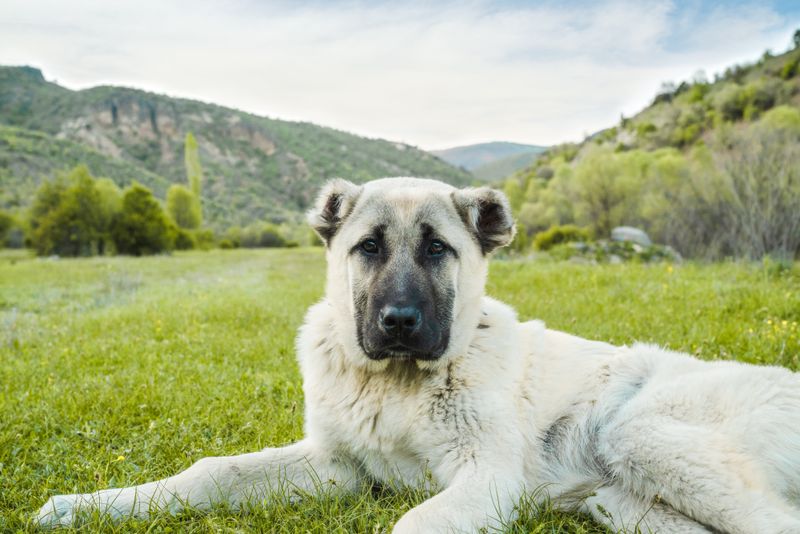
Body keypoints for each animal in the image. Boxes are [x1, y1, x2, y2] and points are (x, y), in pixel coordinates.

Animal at [36, 178, 800, 532]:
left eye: (437, 249)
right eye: (368, 247)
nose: (399, 322)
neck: (396, 384)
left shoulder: (488, 478)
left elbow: (415, 519)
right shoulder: (335, 465)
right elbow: (209, 472)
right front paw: (91, 506)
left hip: (638, 432)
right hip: (624, 502)